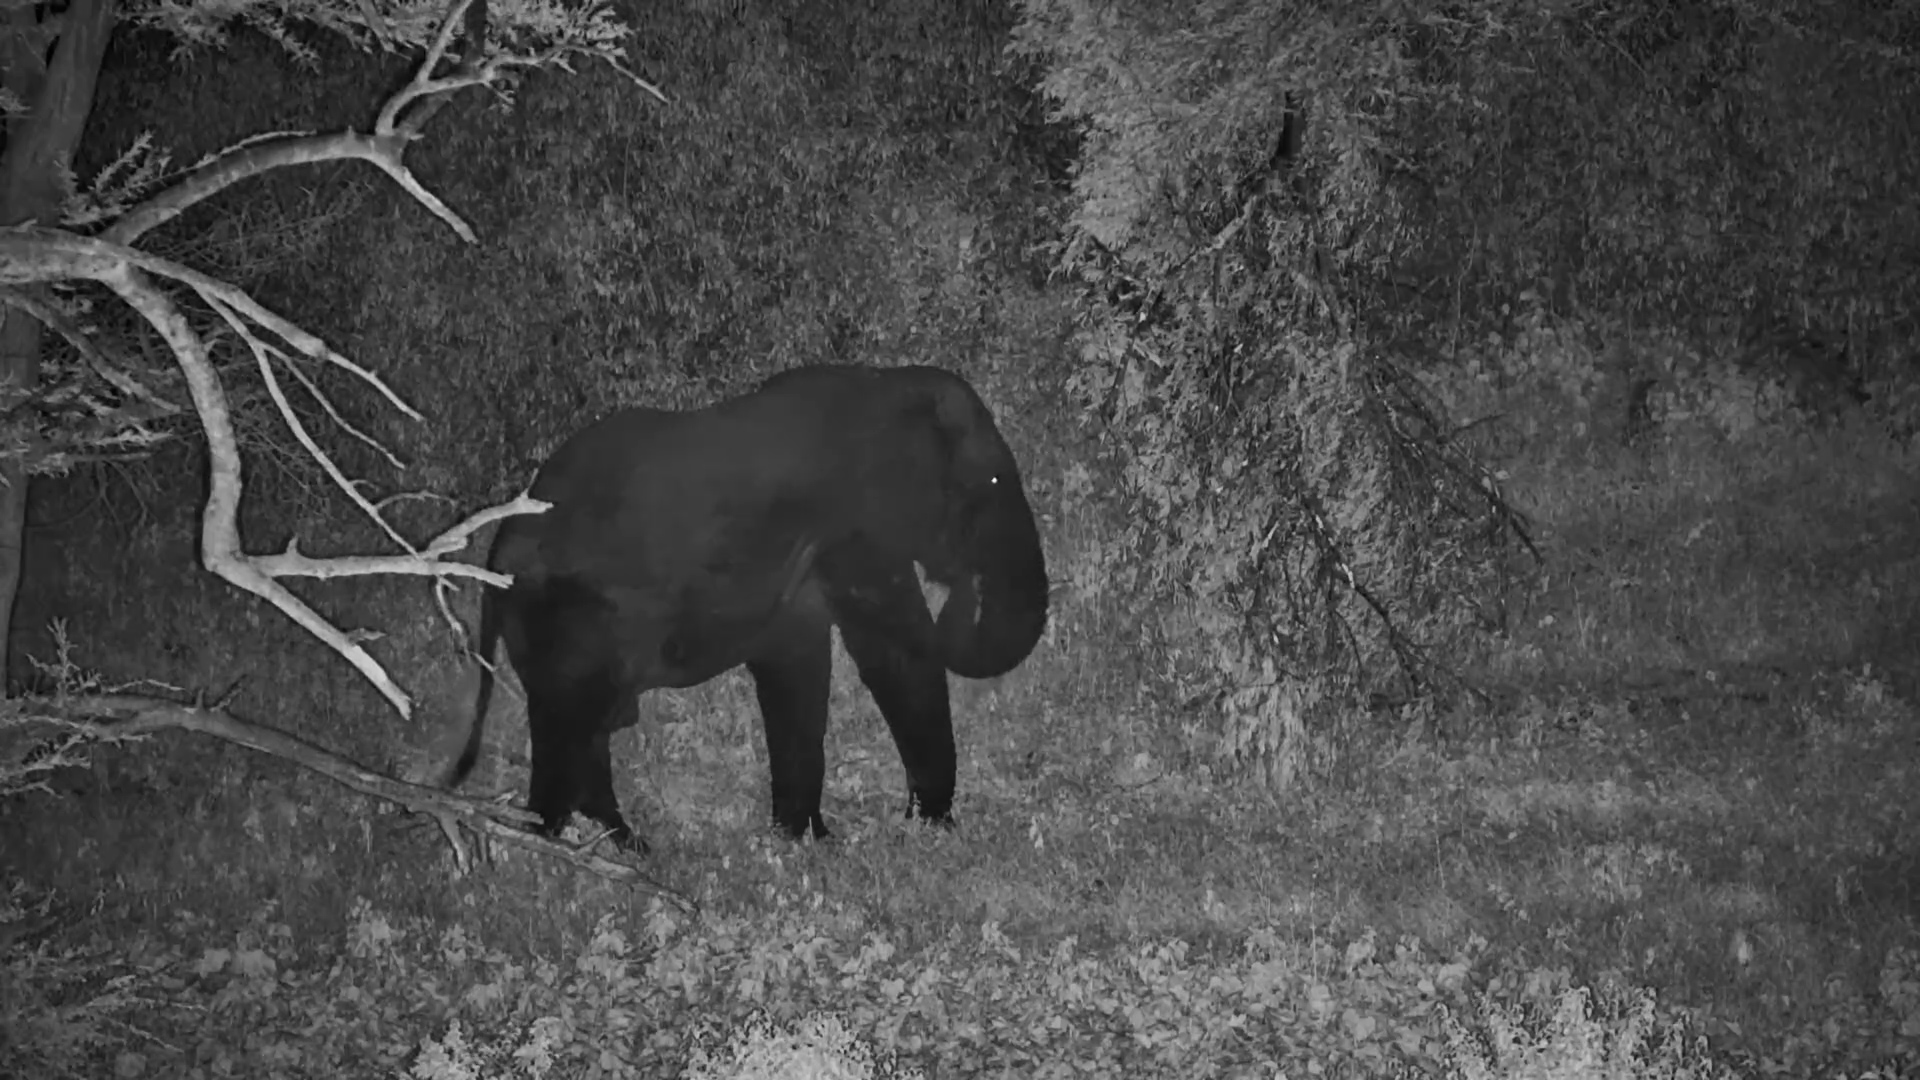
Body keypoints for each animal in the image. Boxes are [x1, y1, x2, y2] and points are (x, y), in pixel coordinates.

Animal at [446, 363, 1049, 852]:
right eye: (990, 482)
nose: (964, 591)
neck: (886, 384)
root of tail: (499, 548)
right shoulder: (857, 526)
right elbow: (892, 651)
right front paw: (932, 827)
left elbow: (799, 665)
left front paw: (808, 841)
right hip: (567, 619)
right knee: (569, 722)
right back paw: (555, 841)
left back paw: (622, 843)